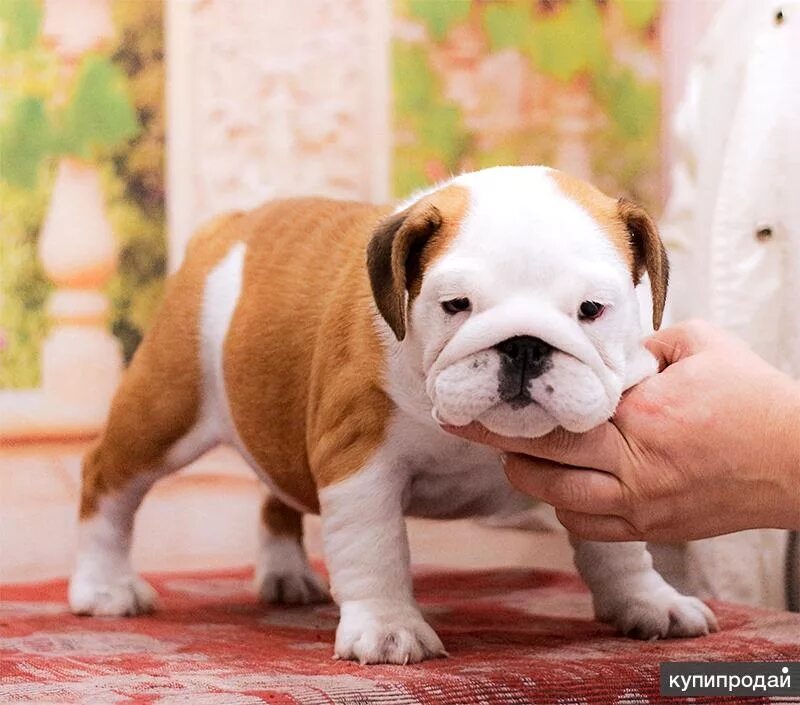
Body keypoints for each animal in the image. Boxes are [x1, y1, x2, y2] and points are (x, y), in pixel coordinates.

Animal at [70, 168, 720, 664]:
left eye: (592, 309)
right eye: (456, 304)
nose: (524, 345)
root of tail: (226, 228)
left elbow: (616, 547)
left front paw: (647, 601)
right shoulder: (359, 463)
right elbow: (375, 549)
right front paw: (387, 629)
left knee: (276, 493)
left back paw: (285, 576)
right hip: (163, 410)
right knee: (108, 484)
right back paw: (105, 586)